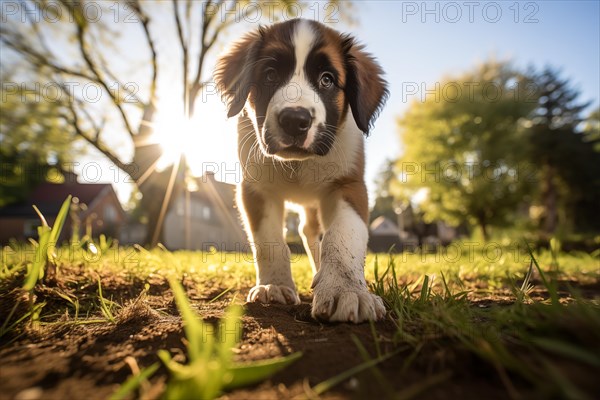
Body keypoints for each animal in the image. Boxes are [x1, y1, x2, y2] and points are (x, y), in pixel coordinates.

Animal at [216, 18, 390, 324]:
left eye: (327, 79)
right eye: (270, 75)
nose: (294, 119)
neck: (298, 164)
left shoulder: (348, 185)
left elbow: (343, 236)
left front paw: (346, 290)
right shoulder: (256, 188)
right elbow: (269, 240)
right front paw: (273, 285)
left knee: (315, 233)